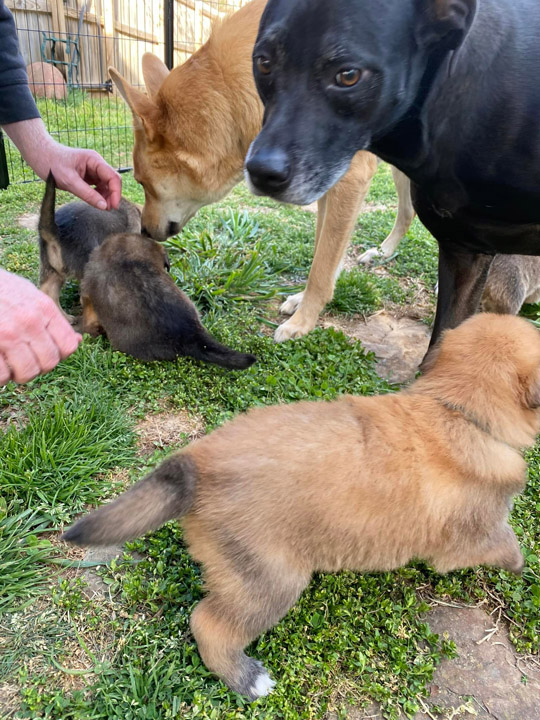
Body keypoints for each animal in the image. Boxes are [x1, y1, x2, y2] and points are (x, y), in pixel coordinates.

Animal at [64, 314, 540, 696]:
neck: (458, 408)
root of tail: (197, 463)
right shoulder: (474, 535)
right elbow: (506, 542)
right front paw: (522, 566)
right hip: (272, 581)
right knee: (208, 624)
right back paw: (247, 679)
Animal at [108, 0, 414, 344]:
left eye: (141, 182)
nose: (144, 233)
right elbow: (323, 254)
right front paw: (302, 300)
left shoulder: (350, 180)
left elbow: (322, 265)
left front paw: (303, 320)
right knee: (408, 212)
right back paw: (384, 252)